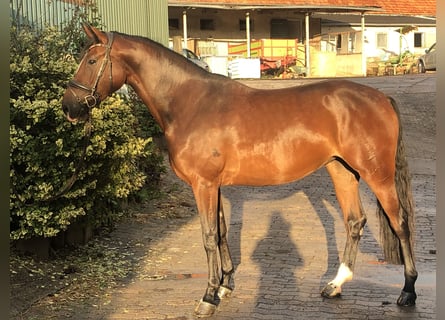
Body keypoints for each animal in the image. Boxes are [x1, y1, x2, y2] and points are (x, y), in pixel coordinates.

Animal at [61, 23, 416, 316]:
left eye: (91, 61)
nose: (69, 107)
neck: (190, 103)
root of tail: (380, 97)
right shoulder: (212, 185)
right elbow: (221, 231)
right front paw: (224, 285)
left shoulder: (203, 184)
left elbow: (208, 236)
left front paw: (207, 297)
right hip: (341, 171)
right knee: (355, 222)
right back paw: (335, 285)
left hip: (378, 175)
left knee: (400, 223)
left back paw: (408, 291)